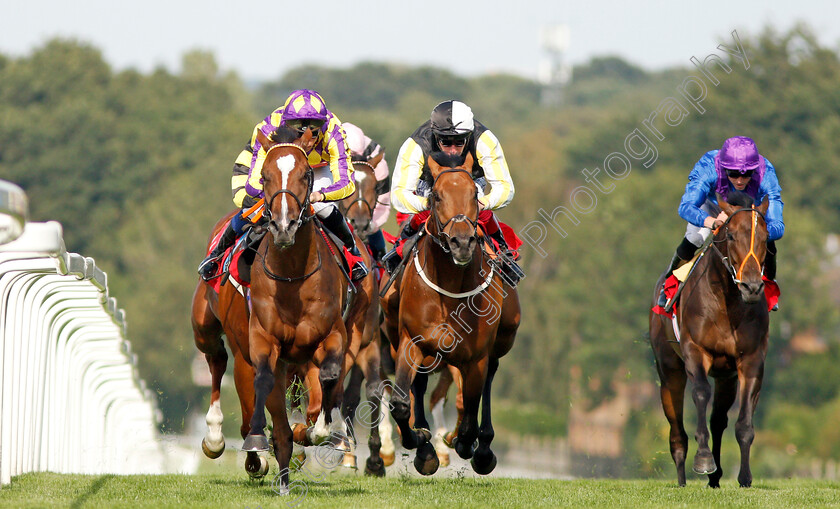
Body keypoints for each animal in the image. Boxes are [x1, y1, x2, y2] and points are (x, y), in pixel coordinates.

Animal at [380, 152, 520, 476]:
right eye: (437, 196)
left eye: (474, 195)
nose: (462, 242)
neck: (450, 286)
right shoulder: (411, 342)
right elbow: (400, 403)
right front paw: (421, 442)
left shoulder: (476, 357)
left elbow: (468, 413)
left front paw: (468, 445)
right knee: (419, 385)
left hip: (501, 339)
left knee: (488, 379)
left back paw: (482, 447)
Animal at [648, 191, 776, 488]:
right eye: (731, 235)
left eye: (765, 237)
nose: (751, 287)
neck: (727, 301)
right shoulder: (695, 351)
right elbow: (700, 393)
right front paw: (704, 459)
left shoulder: (751, 360)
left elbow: (743, 423)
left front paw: (744, 477)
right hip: (669, 370)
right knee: (677, 430)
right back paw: (683, 479)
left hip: (726, 377)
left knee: (718, 420)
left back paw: (716, 478)